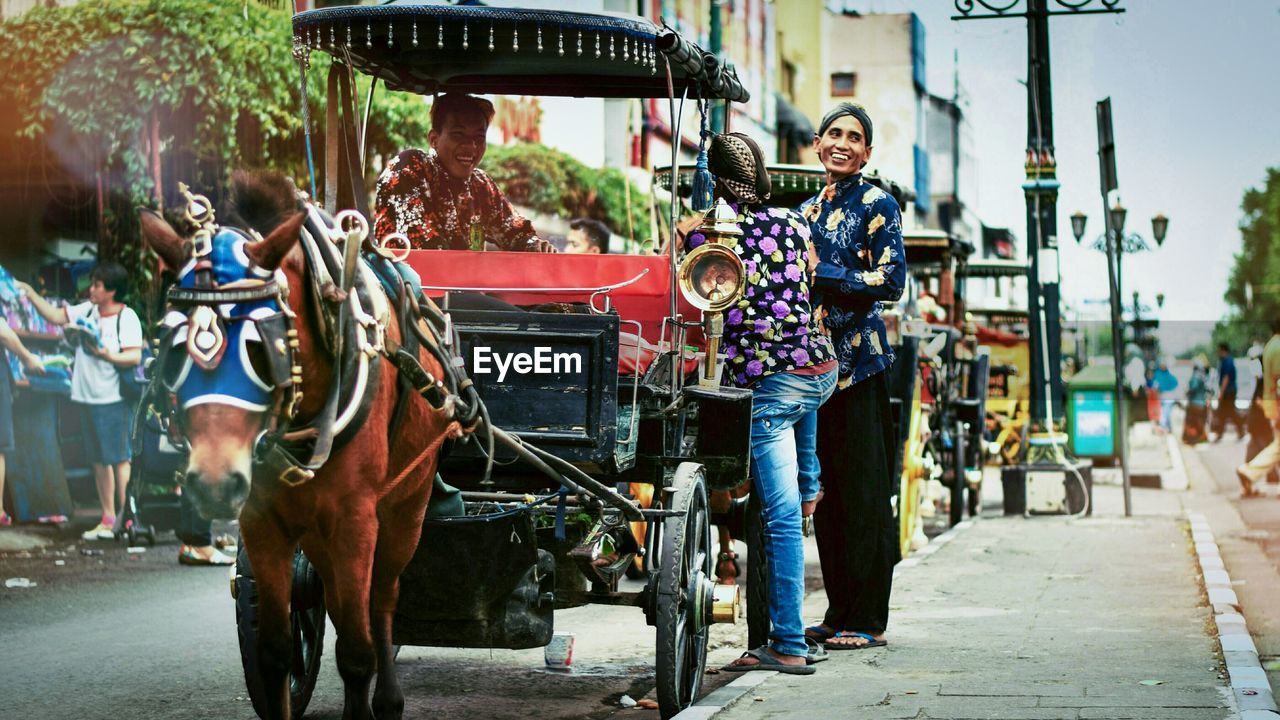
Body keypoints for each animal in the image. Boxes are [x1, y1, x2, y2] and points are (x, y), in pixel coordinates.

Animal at [141, 170, 460, 712]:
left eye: (258, 348)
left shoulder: (355, 518)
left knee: (381, 599)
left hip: (406, 505)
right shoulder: (261, 518)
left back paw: (387, 698)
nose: (212, 483)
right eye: (173, 347)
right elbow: (274, 651)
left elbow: (356, 653)